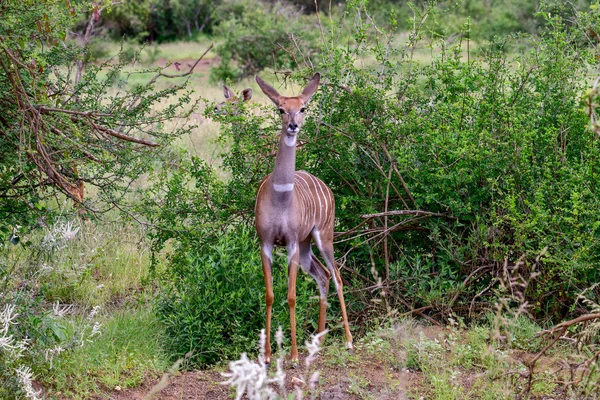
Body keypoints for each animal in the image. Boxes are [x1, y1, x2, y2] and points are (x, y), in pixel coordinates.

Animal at [253, 72, 352, 366]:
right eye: (281, 109)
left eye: (303, 107)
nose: (293, 125)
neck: (281, 197)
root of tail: (326, 186)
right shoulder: (266, 243)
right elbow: (270, 295)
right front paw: (267, 355)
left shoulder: (292, 243)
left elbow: (292, 296)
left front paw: (294, 356)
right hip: (308, 247)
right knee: (323, 275)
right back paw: (318, 340)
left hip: (323, 237)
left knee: (337, 276)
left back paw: (348, 341)